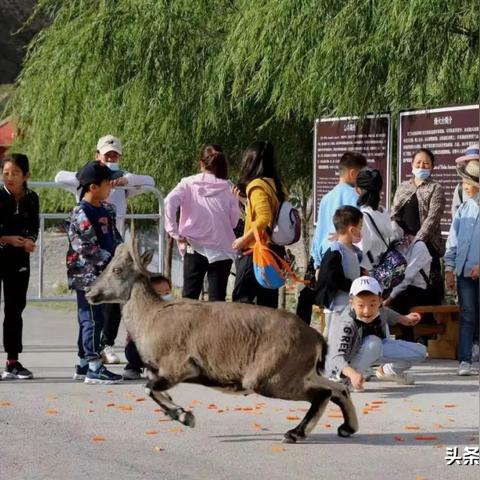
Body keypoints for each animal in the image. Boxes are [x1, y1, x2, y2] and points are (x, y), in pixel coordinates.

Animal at [86, 237, 358, 442]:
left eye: (117, 269)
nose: (90, 293)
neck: (151, 316)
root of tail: (315, 337)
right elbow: (155, 392)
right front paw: (180, 413)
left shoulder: (179, 368)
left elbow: (149, 388)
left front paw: (186, 417)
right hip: (301, 373)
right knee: (338, 388)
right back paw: (347, 428)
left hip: (270, 378)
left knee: (323, 393)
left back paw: (295, 434)